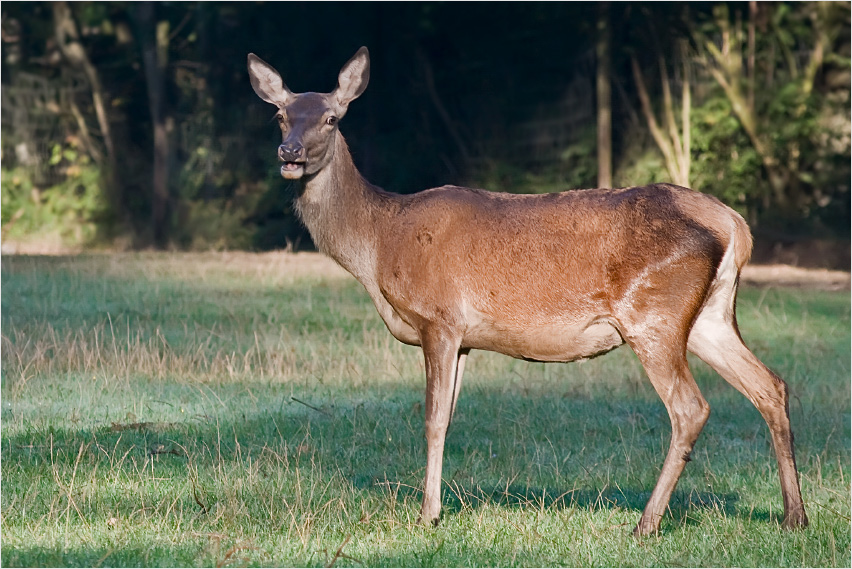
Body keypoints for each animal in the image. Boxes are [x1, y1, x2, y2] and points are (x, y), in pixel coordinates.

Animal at [247, 46, 808, 536]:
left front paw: (427, 515)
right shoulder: (466, 338)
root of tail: (734, 225)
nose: (289, 153)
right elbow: (449, 418)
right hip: (709, 316)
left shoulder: (439, 318)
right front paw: (438, 506)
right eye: (280, 116)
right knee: (770, 385)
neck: (381, 240)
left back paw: (646, 523)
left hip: (654, 314)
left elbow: (431, 419)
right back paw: (793, 517)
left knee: (690, 408)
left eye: (331, 118)